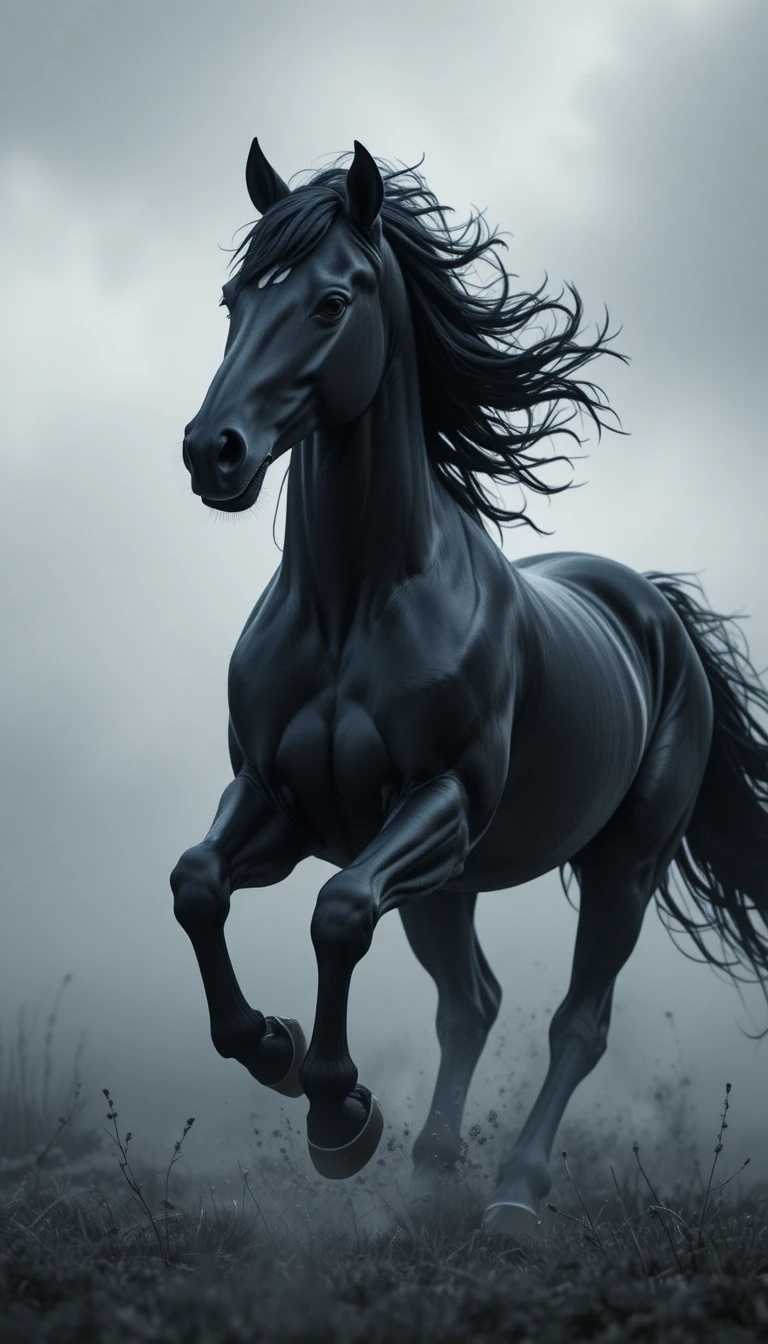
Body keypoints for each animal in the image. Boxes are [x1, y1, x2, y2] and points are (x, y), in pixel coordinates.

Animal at [172, 138, 768, 1234]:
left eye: (331, 302)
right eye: (234, 298)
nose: (211, 452)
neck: (354, 605)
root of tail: (652, 607)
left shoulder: (441, 801)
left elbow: (336, 914)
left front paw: (337, 1115)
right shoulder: (278, 802)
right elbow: (198, 886)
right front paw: (284, 1057)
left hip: (621, 863)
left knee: (579, 1021)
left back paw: (513, 1196)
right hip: (449, 888)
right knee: (471, 1001)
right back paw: (430, 1169)